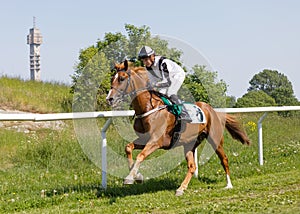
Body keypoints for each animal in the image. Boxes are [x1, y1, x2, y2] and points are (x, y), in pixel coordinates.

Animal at [106, 59, 251, 196]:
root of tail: (212, 110)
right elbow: (128, 147)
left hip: (215, 139)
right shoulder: (145, 139)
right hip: (189, 144)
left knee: (224, 159)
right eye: (112, 79)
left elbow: (141, 155)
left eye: (122, 78)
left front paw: (131, 177)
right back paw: (181, 188)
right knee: (192, 166)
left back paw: (229, 185)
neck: (149, 108)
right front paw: (137, 176)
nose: (109, 99)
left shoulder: (156, 141)